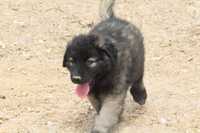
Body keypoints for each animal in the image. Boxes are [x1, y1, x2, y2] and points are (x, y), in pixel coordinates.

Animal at [62, 0, 147, 133]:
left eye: (90, 61)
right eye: (71, 61)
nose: (76, 78)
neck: (102, 78)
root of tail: (113, 18)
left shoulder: (114, 92)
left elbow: (107, 113)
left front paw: (99, 128)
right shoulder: (92, 93)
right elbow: (99, 107)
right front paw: (116, 116)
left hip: (138, 62)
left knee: (139, 79)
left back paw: (140, 95)